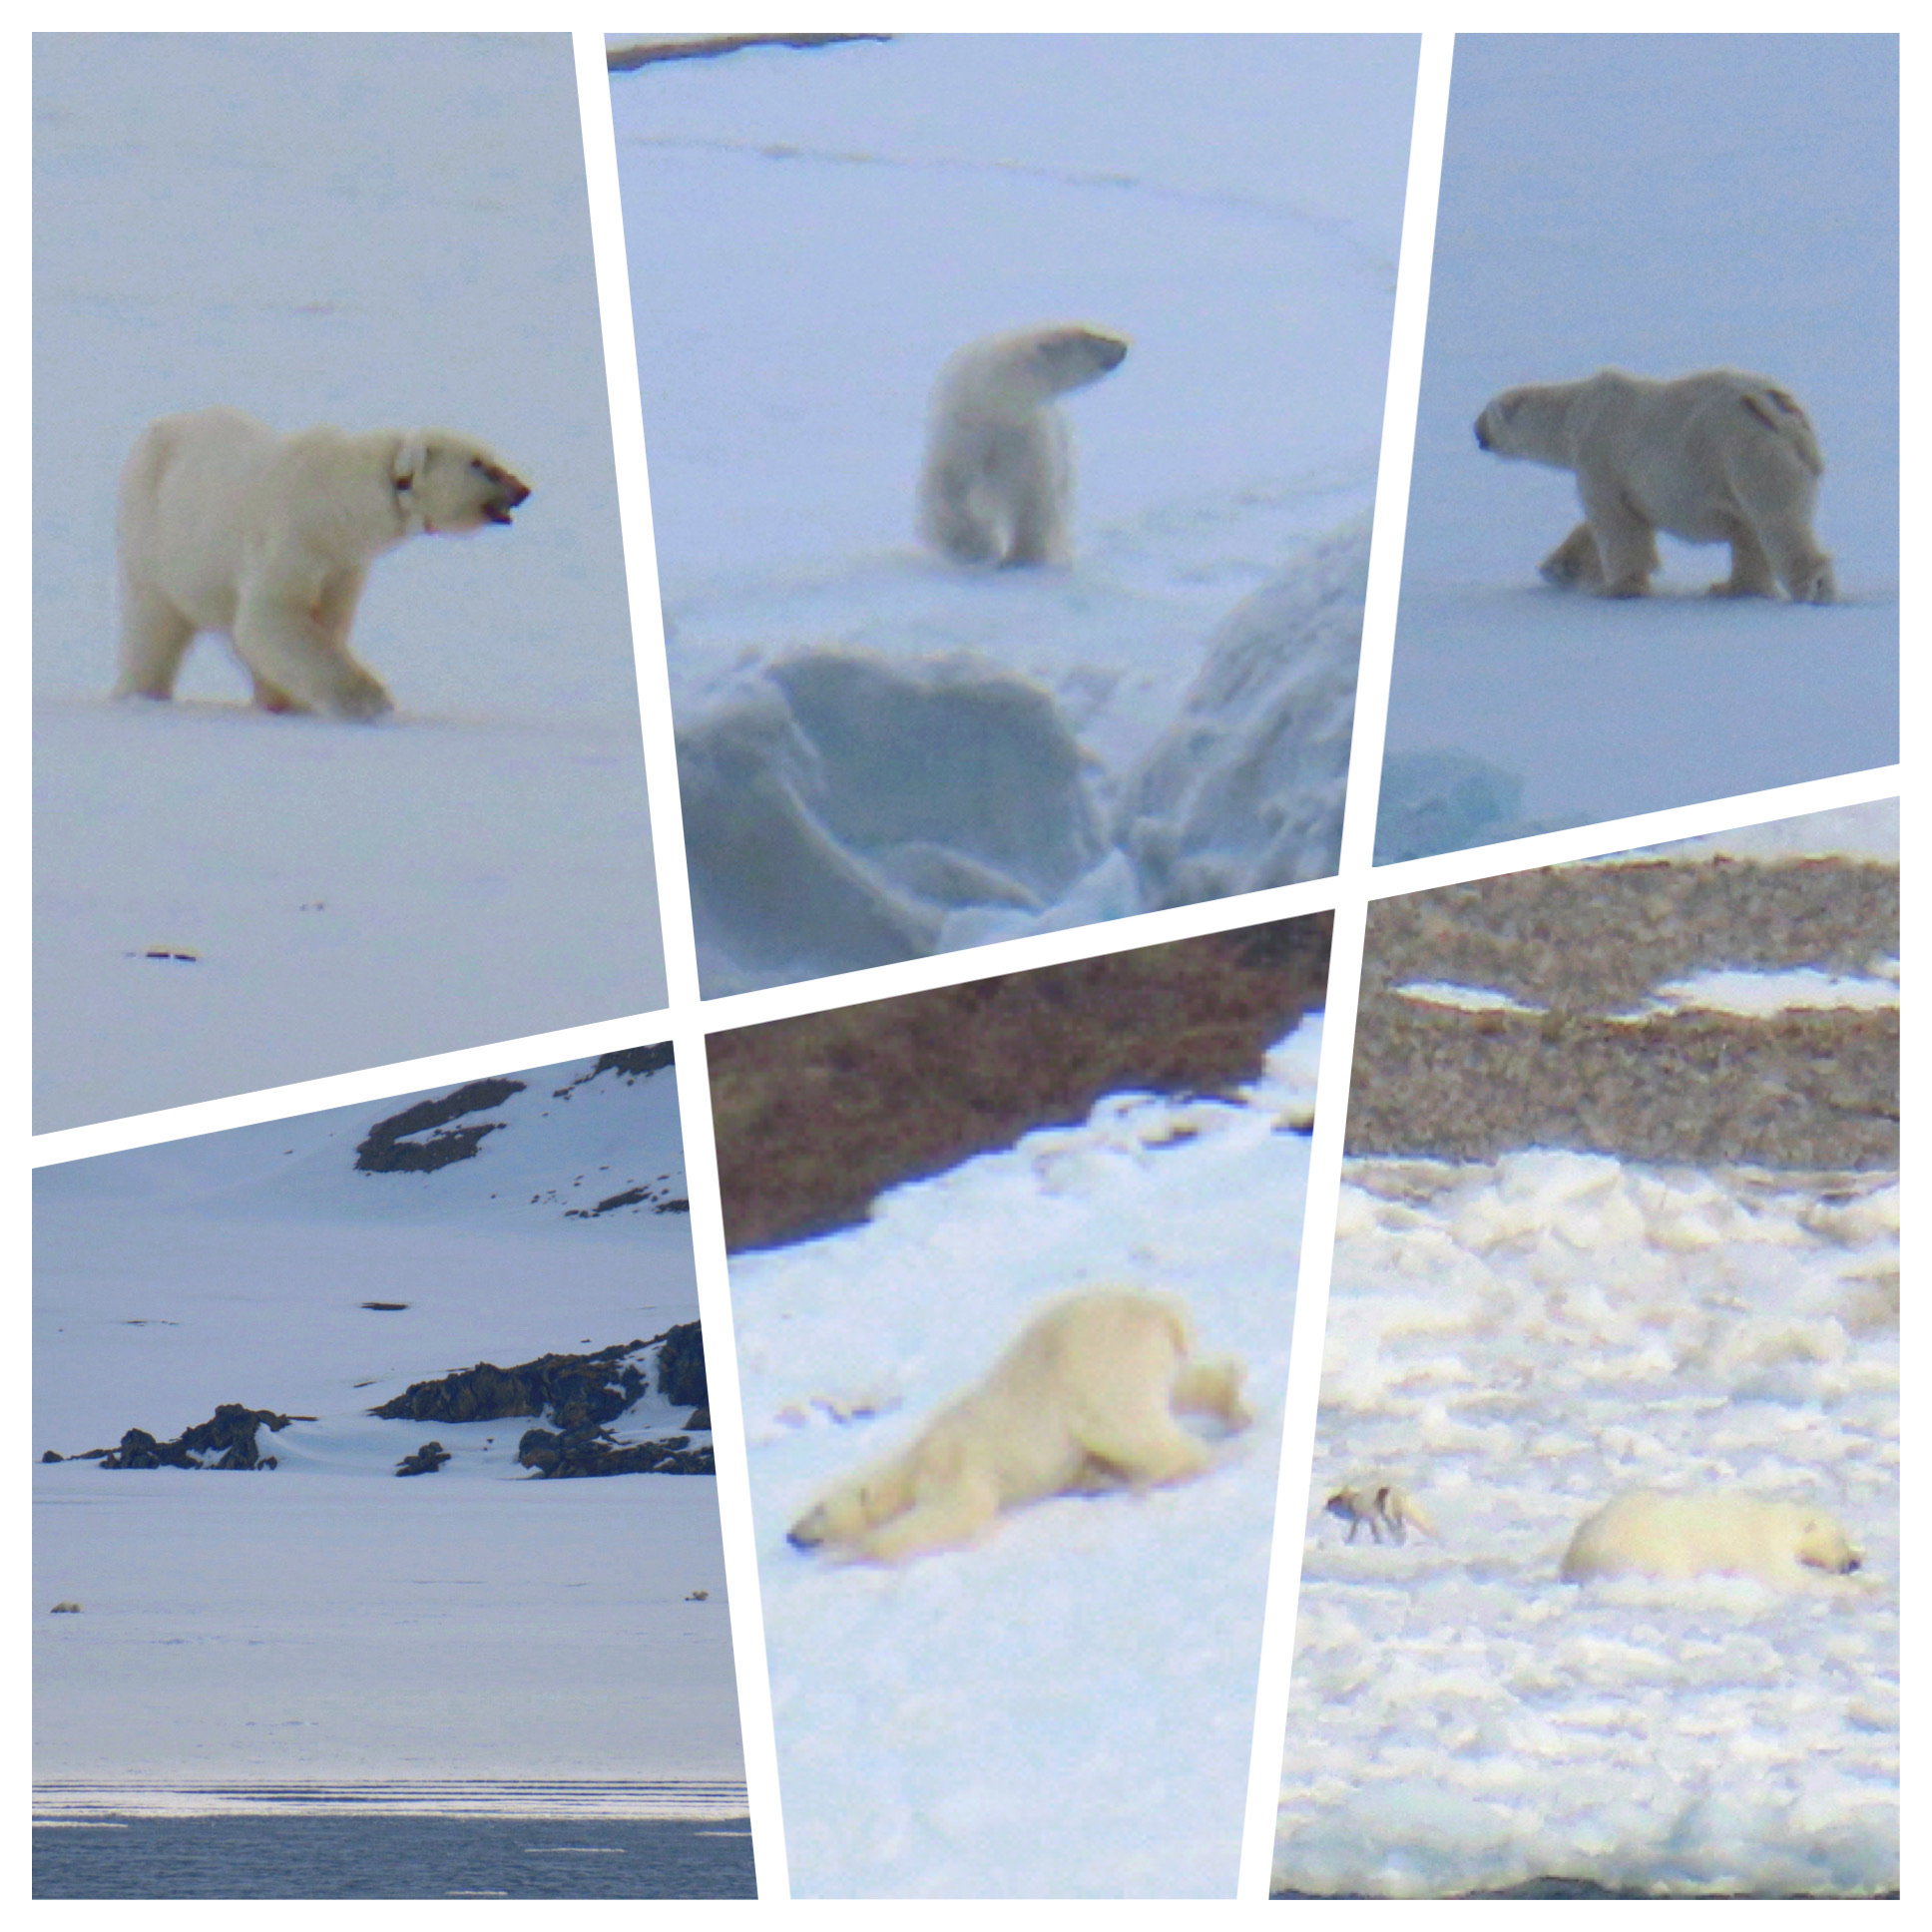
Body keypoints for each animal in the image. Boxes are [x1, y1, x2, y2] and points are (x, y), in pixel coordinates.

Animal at [114, 405, 531, 721]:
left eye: (490, 457)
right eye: (478, 463)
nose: (523, 489)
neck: (335, 505)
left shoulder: (342, 564)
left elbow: (322, 620)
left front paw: (294, 702)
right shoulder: (292, 539)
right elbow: (272, 616)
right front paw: (369, 702)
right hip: (154, 536)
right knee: (152, 625)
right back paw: (141, 694)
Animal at [785, 1286, 1250, 1564]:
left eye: (817, 1508)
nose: (791, 1535)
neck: (911, 1463)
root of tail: (1158, 1310)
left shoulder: (952, 1463)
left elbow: (962, 1508)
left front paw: (860, 1550)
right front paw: (1093, 1477)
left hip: (1098, 1366)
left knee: (1120, 1424)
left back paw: (1156, 1476)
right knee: (1180, 1388)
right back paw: (1235, 1406)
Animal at [918, 322, 1129, 568]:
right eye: (1091, 337)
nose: (1124, 347)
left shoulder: (1026, 436)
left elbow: (1032, 496)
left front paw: (1024, 555)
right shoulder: (963, 434)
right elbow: (949, 489)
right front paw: (975, 544)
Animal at [1473, 368, 1834, 602]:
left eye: (1486, 413)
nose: (1475, 429)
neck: (1575, 411)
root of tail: (1784, 416)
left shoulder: (1599, 454)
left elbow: (1615, 523)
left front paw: (1614, 588)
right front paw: (1558, 567)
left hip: (1747, 453)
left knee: (1778, 523)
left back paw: (1814, 589)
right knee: (1752, 530)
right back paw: (1732, 587)